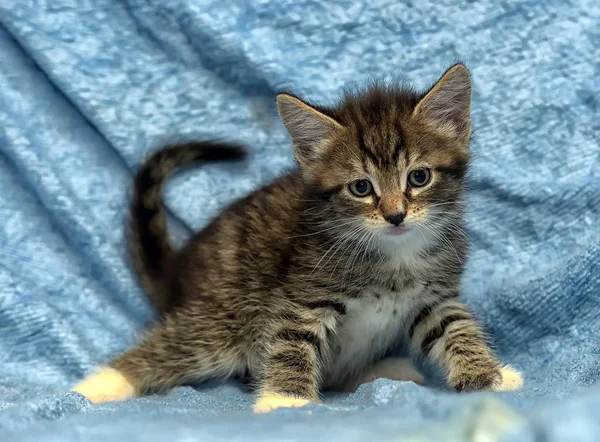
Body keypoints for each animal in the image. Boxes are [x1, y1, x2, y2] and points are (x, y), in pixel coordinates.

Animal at [71, 64, 520, 412]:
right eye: (361, 188)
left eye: (419, 177)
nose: (395, 214)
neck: (394, 254)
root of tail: (177, 271)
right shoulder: (302, 291)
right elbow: (291, 340)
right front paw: (286, 400)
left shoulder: (434, 296)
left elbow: (455, 328)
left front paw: (488, 375)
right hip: (224, 312)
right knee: (179, 343)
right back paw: (96, 386)